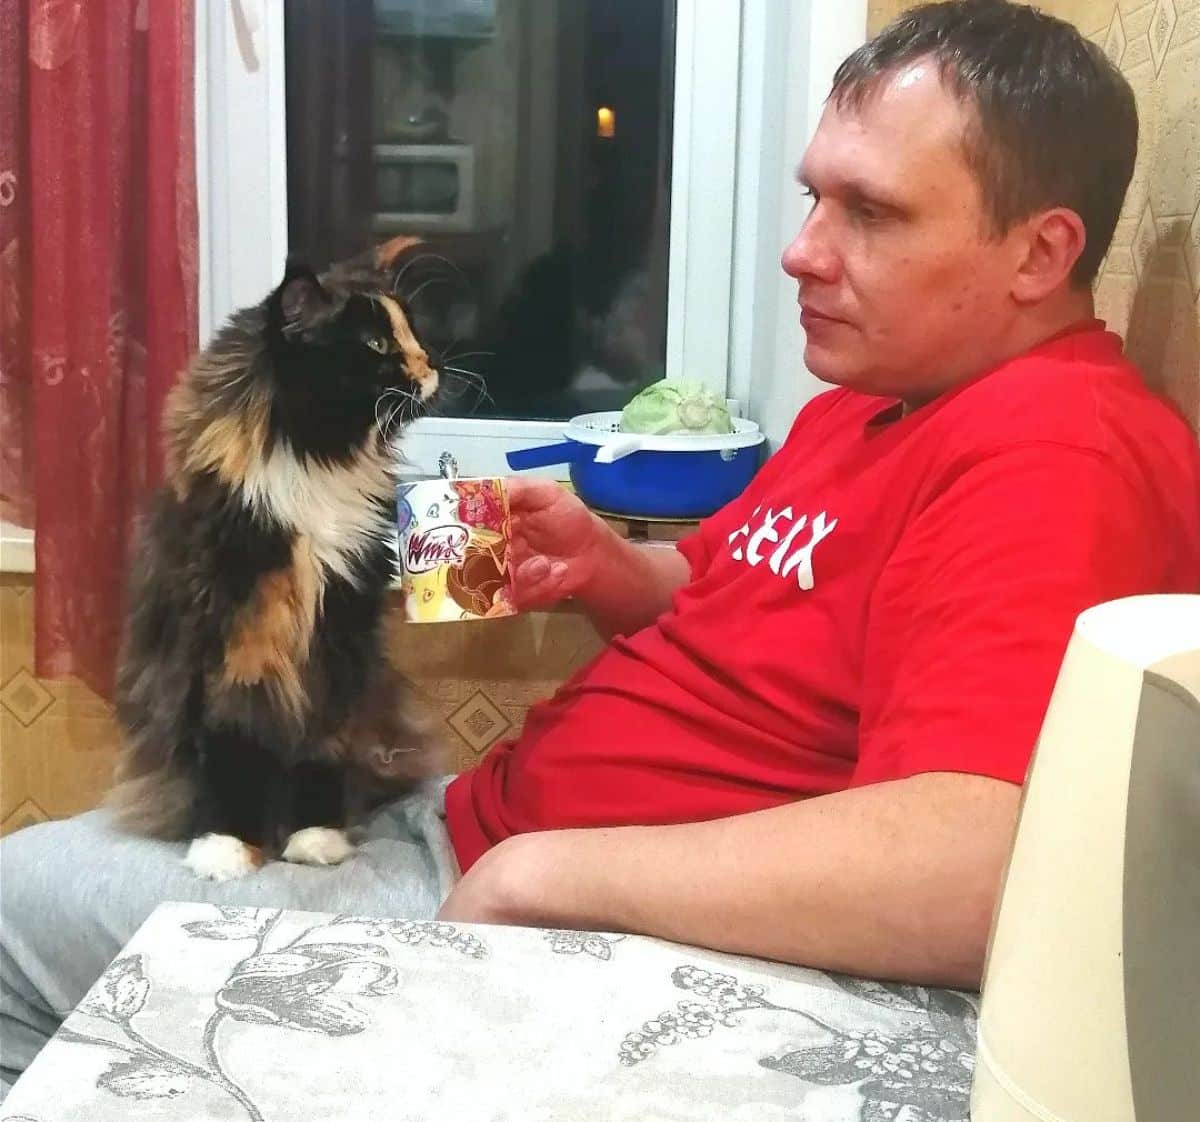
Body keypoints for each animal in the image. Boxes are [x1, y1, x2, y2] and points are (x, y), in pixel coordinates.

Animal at [108, 249, 444, 883]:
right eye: (375, 344)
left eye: (413, 334)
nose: (429, 367)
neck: (317, 461)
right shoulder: (239, 638)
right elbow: (233, 746)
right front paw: (226, 849)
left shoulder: (337, 640)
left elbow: (322, 750)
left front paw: (315, 839)